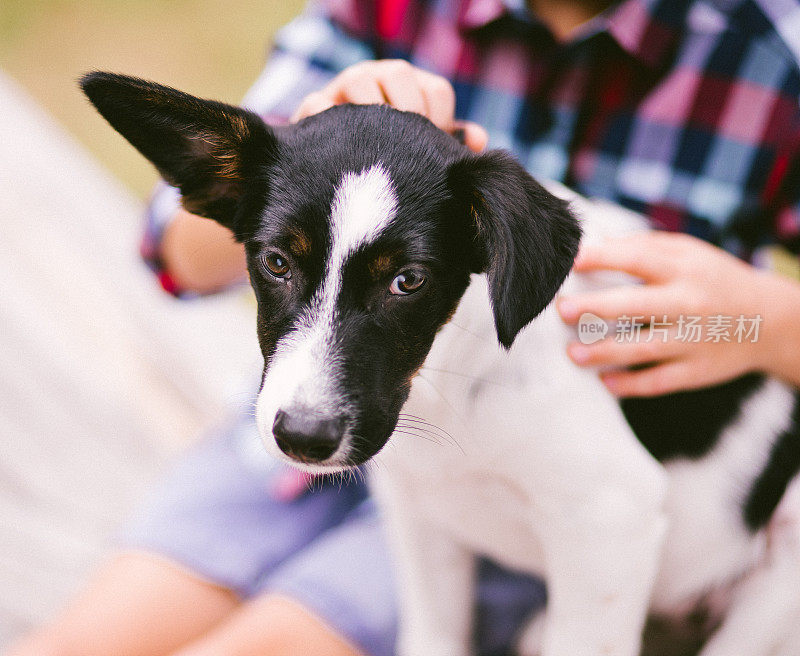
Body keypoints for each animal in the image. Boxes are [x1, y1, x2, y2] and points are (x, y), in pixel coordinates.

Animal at [81, 73, 800, 656]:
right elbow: (432, 636)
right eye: (276, 262)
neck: (449, 389)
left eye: (409, 281)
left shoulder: (609, 518)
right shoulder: (422, 516)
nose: (304, 439)